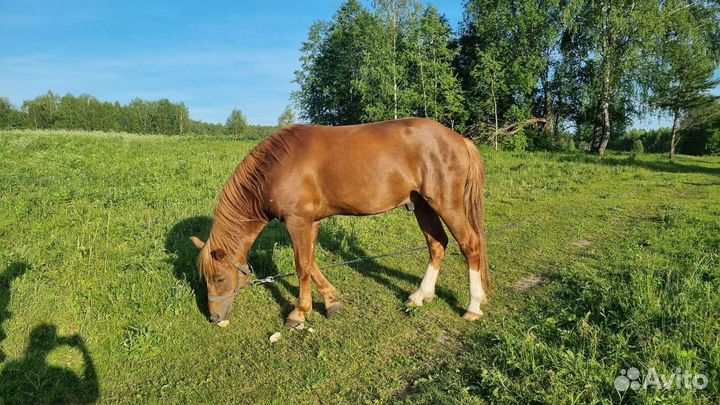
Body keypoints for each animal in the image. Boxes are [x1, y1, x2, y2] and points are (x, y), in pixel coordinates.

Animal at [190, 117, 490, 329]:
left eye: (218, 278)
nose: (214, 317)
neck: (278, 168)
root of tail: (460, 140)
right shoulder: (311, 222)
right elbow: (311, 263)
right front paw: (331, 301)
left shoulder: (298, 222)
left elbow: (302, 267)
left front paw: (299, 314)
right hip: (422, 206)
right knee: (437, 244)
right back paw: (420, 295)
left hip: (446, 205)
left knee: (470, 244)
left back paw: (473, 306)